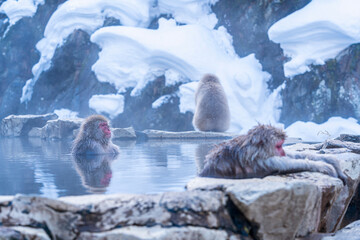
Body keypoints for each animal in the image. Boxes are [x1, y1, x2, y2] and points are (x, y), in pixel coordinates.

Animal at [198, 124, 348, 182]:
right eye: (278, 146)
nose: (282, 151)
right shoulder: (264, 161)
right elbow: (291, 164)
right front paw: (325, 166)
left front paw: (331, 160)